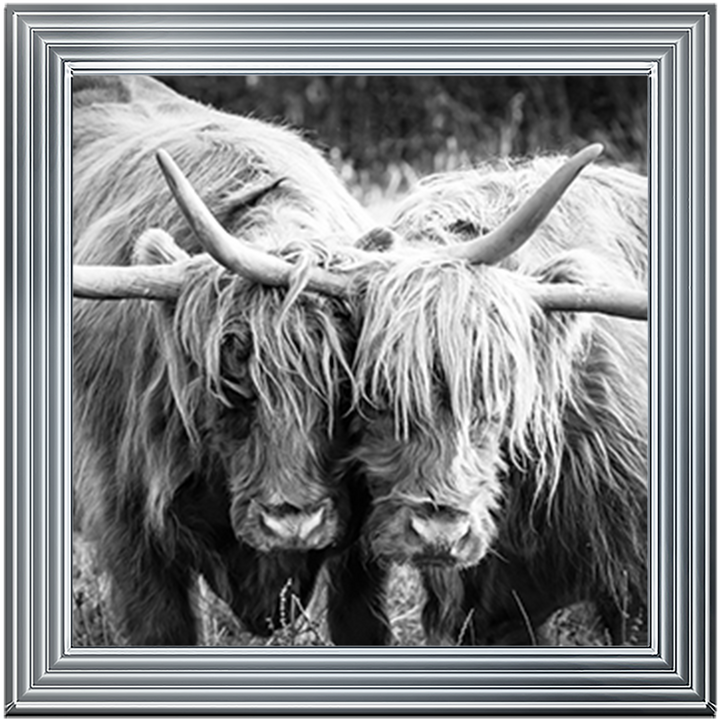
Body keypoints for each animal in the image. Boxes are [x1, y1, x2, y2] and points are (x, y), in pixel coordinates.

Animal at [72, 75, 382, 645]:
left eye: (343, 386)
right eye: (229, 382)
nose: (293, 523)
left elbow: (362, 621)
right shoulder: (127, 524)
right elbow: (161, 630)